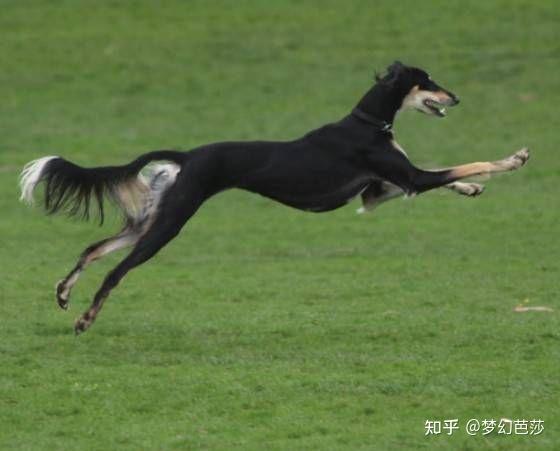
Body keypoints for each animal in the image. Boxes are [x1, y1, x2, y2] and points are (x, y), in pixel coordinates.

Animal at [18, 61, 528, 334]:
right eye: (428, 80)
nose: (456, 97)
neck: (366, 124)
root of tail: (188, 155)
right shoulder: (407, 179)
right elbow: (461, 164)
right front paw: (512, 159)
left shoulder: (379, 191)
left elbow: (450, 175)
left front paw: (473, 187)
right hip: (171, 223)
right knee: (116, 271)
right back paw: (85, 318)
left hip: (155, 216)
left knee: (94, 248)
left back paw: (64, 292)